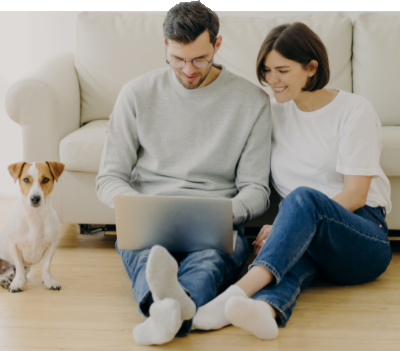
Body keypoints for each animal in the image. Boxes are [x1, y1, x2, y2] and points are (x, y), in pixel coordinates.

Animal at [0, 162, 65, 294]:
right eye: (26, 179)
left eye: (45, 179)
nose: (35, 198)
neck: (34, 216)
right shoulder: (14, 246)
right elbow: (19, 267)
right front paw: (17, 283)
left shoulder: (51, 245)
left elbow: (46, 266)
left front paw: (49, 281)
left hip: (24, 268)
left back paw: (6, 281)